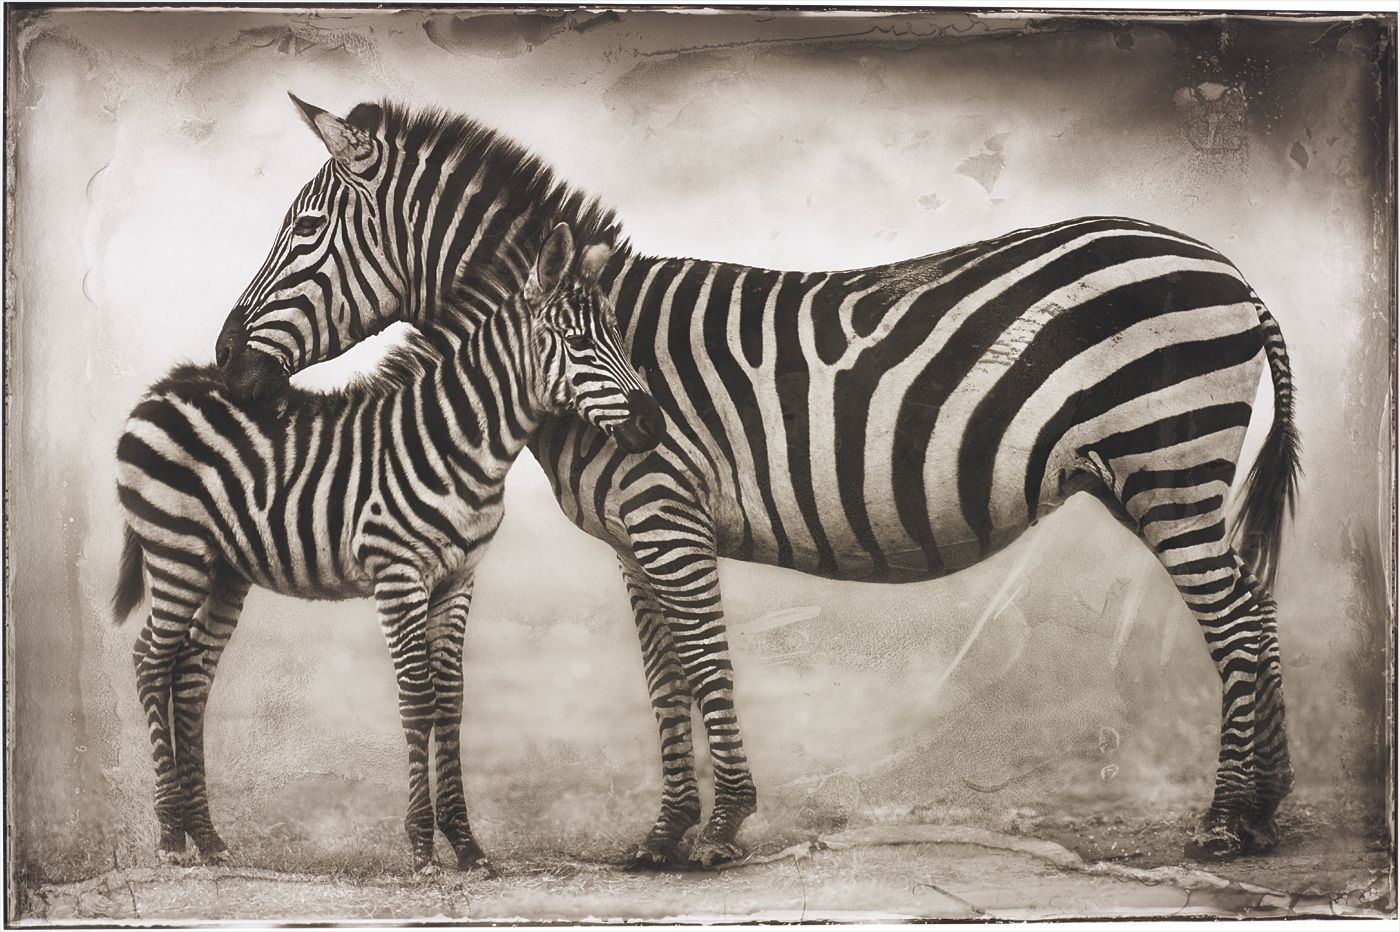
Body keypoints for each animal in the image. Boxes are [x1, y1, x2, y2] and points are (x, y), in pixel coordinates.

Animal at [113, 222, 665, 874]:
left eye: (619, 338)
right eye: (579, 344)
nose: (654, 425)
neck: (461, 440)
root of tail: (165, 386)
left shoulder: (459, 578)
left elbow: (451, 700)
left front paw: (466, 845)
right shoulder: (398, 572)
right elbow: (417, 698)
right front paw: (423, 845)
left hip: (223, 568)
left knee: (192, 673)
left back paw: (208, 838)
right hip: (176, 549)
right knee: (152, 661)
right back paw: (171, 836)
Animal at [217, 97, 1301, 866]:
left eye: (302, 232)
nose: (226, 361)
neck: (582, 348)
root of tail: (1228, 267)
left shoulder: (667, 515)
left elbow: (704, 663)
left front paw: (721, 829)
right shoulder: (634, 535)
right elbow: (662, 679)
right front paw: (663, 834)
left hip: (1167, 460)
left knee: (1234, 624)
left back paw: (1223, 821)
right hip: (1155, 475)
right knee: (1256, 604)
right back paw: (1269, 810)